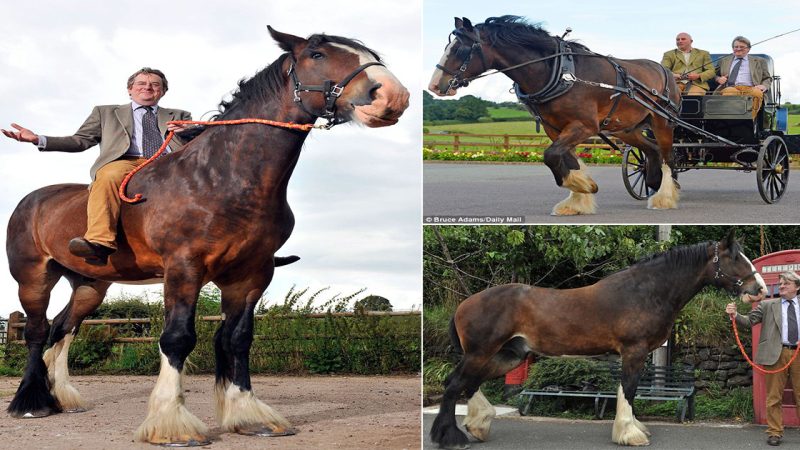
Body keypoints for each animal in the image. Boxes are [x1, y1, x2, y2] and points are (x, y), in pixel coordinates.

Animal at [4, 26, 406, 444]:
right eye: (316, 53)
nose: (392, 96)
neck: (221, 177)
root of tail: (32, 201)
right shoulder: (184, 267)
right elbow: (177, 338)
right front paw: (172, 424)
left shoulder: (252, 274)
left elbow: (238, 339)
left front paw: (249, 415)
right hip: (33, 278)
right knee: (37, 330)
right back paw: (31, 403)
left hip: (89, 284)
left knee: (63, 328)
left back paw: (60, 396)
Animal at [428, 16, 680, 214]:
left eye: (460, 49)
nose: (435, 86)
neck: (560, 72)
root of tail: (664, 70)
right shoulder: (555, 128)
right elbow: (566, 159)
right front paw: (578, 198)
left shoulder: (585, 126)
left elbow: (550, 156)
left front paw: (583, 187)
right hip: (626, 128)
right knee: (653, 150)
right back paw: (653, 183)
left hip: (663, 121)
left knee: (668, 156)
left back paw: (666, 195)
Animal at [432, 230, 768, 448]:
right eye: (735, 258)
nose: (760, 289)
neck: (646, 291)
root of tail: (464, 304)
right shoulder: (634, 352)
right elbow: (629, 390)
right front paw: (630, 434)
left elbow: (627, 390)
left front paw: (632, 428)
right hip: (481, 353)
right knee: (454, 384)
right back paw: (450, 437)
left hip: (507, 356)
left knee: (467, 384)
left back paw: (476, 427)